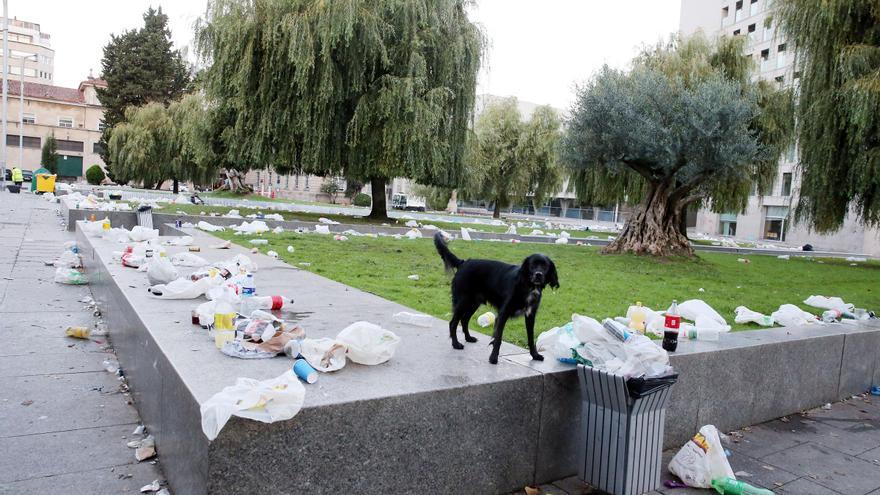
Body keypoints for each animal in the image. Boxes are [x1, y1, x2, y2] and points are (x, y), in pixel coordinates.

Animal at [436, 232, 560, 364]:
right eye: (532, 265)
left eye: (545, 266)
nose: (538, 275)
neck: (527, 286)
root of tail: (463, 262)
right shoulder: (503, 314)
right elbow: (498, 338)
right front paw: (493, 357)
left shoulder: (530, 316)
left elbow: (531, 339)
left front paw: (535, 355)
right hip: (463, 301)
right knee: (453, 322)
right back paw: (456, 344)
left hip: (473, 303)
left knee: (464, 320)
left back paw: (468, 338)